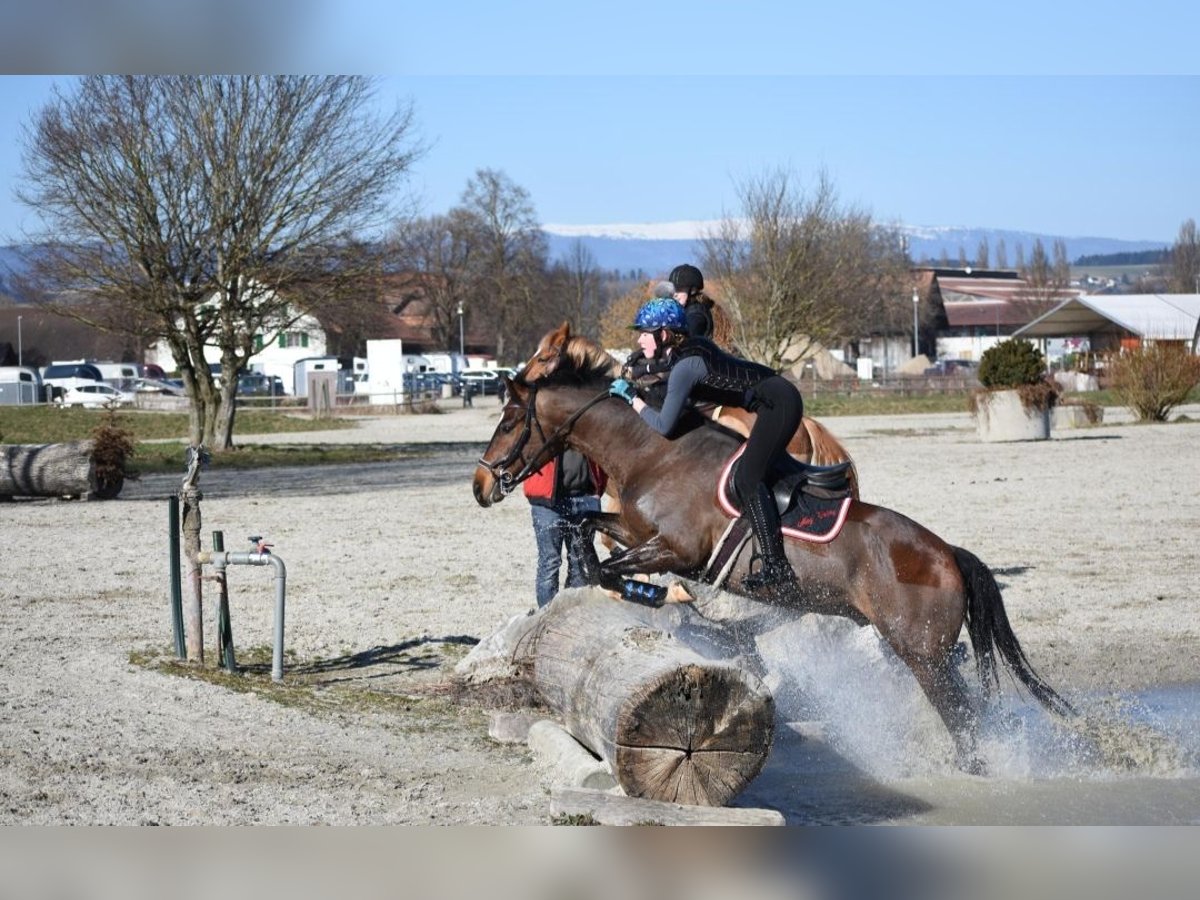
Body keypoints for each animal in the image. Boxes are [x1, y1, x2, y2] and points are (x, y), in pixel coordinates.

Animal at [472, 328, 1075, 772]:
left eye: (508, 420)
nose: (480, 486)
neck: (654, 450)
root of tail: (947, 553)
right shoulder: (637, 531)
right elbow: (586, 532)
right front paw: (632, 590)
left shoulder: (676, 550)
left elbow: (609, 563)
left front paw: (648, 594)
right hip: (929, 653)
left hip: (922, 654)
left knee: (963, 719)